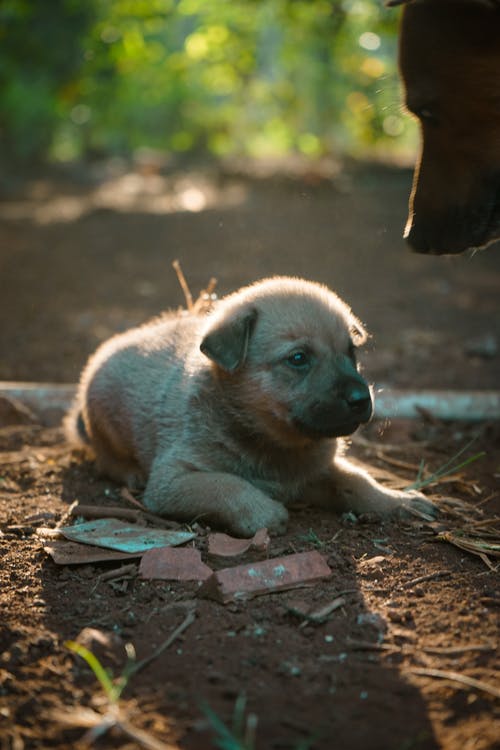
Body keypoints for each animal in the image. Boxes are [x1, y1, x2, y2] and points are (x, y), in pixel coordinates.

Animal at [65, 280, 434, 536]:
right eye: (298, 358)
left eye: (351, 352)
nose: (362, 399)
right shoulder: (172, 480)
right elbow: (225, 484)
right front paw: (262, 512)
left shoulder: (318, 471)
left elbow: (359, 482)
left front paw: (400, 501)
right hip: (103, 424)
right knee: (106, 458)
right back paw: (128, 471)